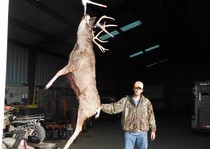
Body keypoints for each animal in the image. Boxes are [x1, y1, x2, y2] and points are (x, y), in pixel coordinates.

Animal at [44, 14, 116, 149]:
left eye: (88, 20)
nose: (87, 14)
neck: (80, 45)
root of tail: (96, 106)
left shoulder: (73, 65)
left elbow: (58, 72)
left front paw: (47, 86)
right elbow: (59, 72)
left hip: (82, 111)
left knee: (78, 129)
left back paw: (66, 145)